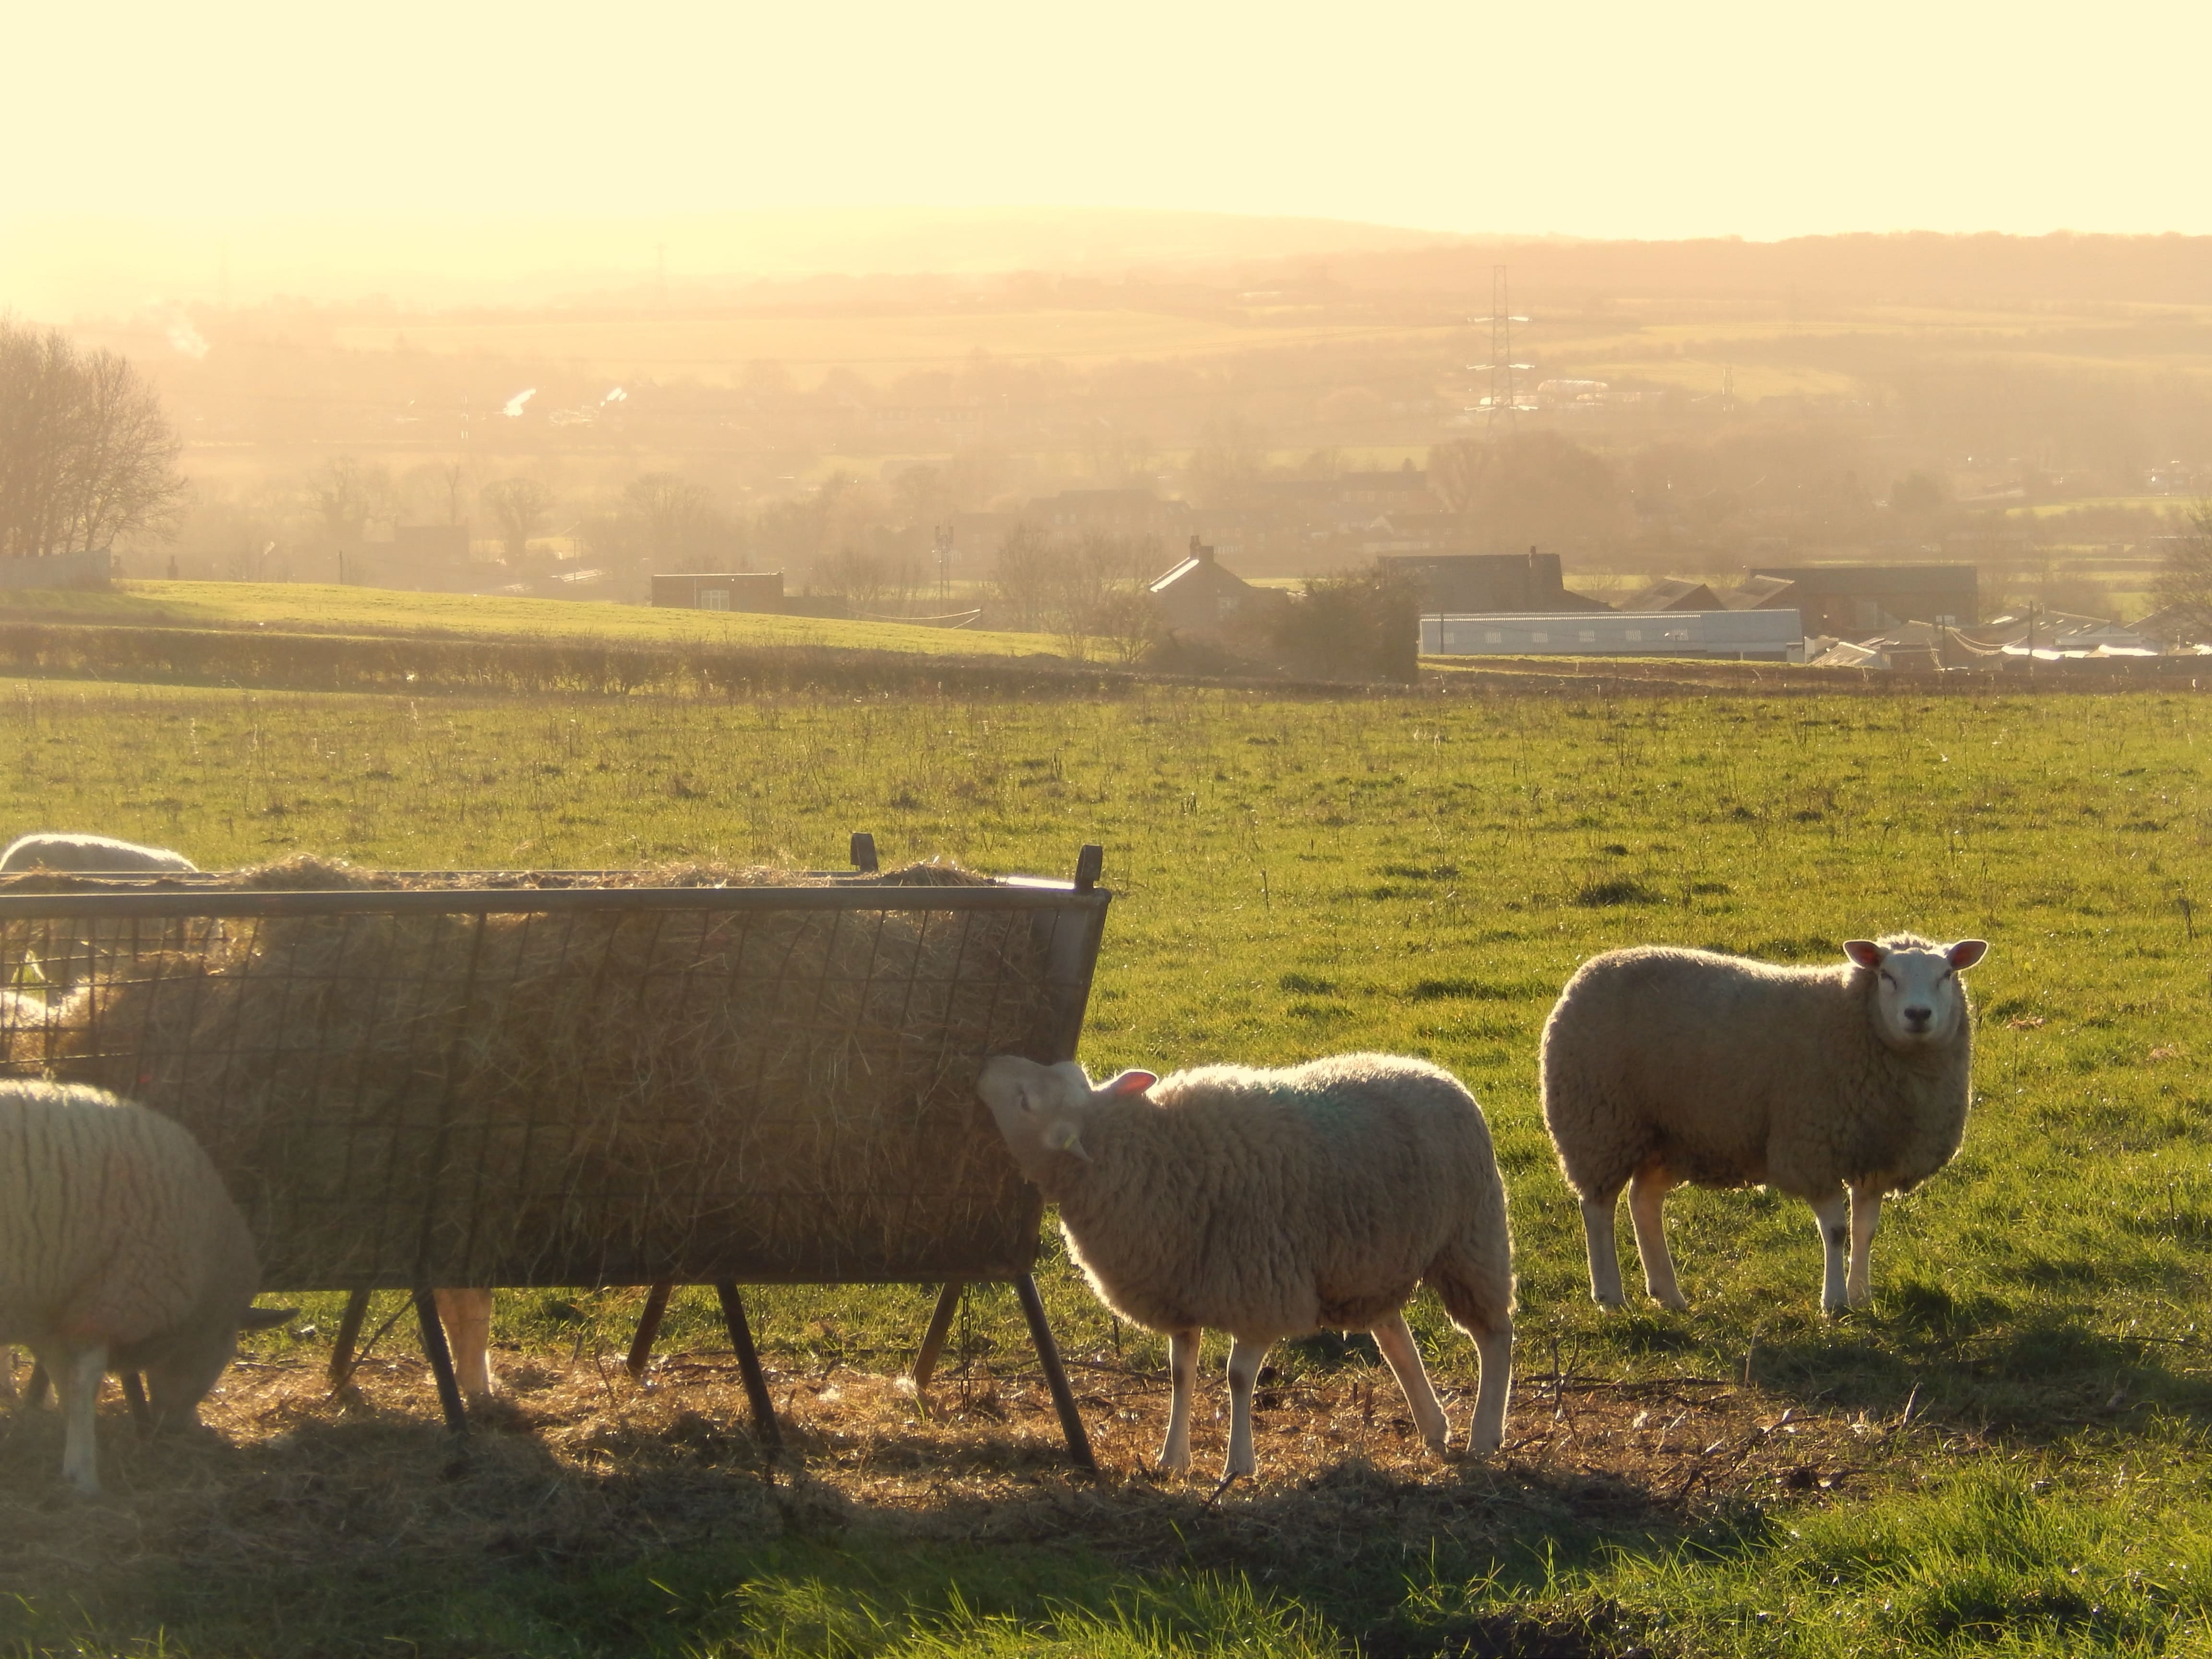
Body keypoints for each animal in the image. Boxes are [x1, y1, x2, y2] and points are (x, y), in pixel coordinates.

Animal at [0, 1083, 292, 1504]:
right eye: (226, 1357)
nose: (179, 1427)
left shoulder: (56, 1309)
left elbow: (65, 1381)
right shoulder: (110, 1298)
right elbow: (85, 1383)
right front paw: (85, 1475)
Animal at [977, 1053, 1513, 1478]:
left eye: (1025, 1101)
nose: (991, 1063)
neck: (1139, 1151)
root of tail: (1436, 1072)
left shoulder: (1259, 1289)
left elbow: (1238, 1377)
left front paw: (1239, 1465)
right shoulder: (1179, 1290)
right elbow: (1181, 1373)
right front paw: (1173, 1460)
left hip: (1469, 1239)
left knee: (1494, 1335)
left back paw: (1483, 1436)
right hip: (1370, 1263)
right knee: (1397, 1340)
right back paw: (1433, 1427)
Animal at [1539, 938, 1991, 1327]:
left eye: (1946, 974)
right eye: (1886, 975)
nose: (1918, 1015)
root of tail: (1590, 969)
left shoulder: (1875, 1153)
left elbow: (1865, 1230)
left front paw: (1861, 1296)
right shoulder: (1813, 1147)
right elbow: (1836, 1232)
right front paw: (1835, 1303)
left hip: (1667, 1134)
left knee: (1643, 1202)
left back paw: (1668, 1294)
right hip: (1598, 1123)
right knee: (1598, 1208)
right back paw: (1611, 1296)